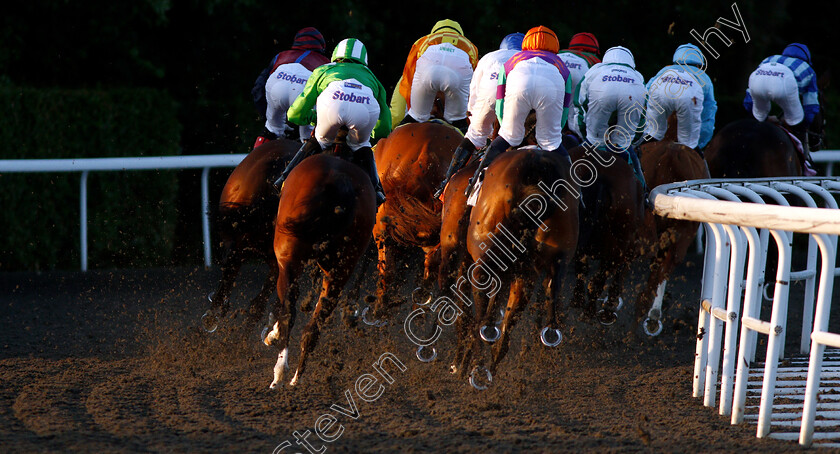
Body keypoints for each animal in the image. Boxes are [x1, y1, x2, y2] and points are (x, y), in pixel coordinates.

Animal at [260, 153, 376, 386]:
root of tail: (338, 182)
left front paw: (272, 334)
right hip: (341, 269)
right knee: (314, 324)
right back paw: (296, 377)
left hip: (289, 256)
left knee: (289, 310)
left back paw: (280, 372)